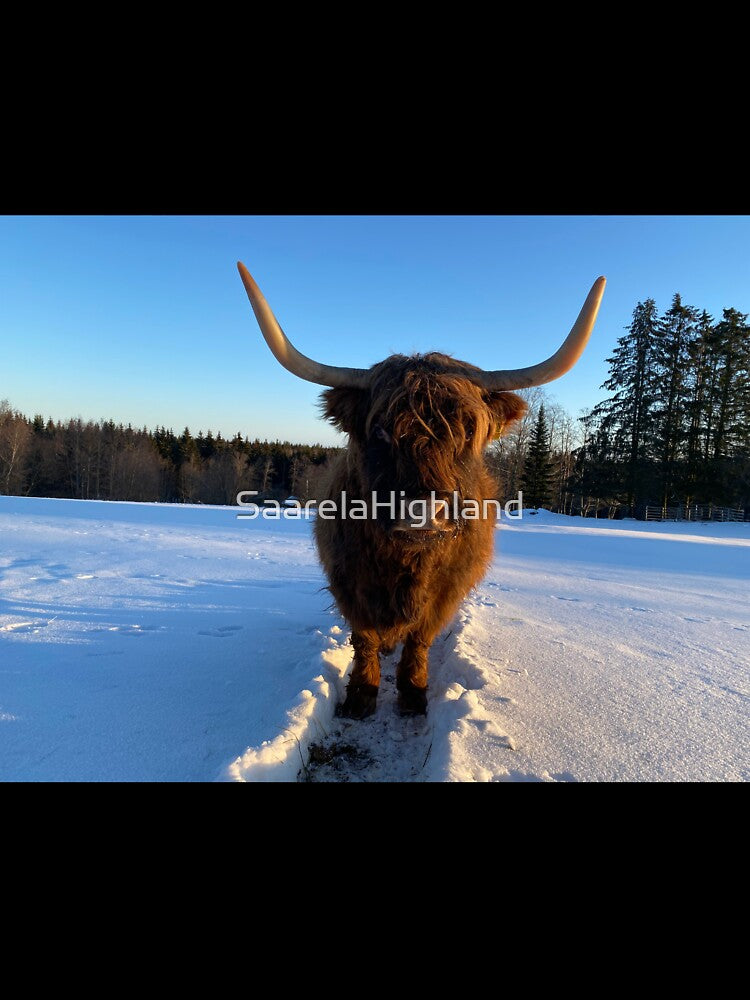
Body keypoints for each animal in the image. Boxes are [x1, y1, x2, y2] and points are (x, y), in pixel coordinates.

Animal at [237, 262, 605, 719]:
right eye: (379, 429)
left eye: (468, 429)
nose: (422, 512)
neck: (405, 563)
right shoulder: (348, 582)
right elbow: (365, 638)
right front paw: (361, 695)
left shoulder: (446, 591)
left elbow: (419, 639)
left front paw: (413, 694)